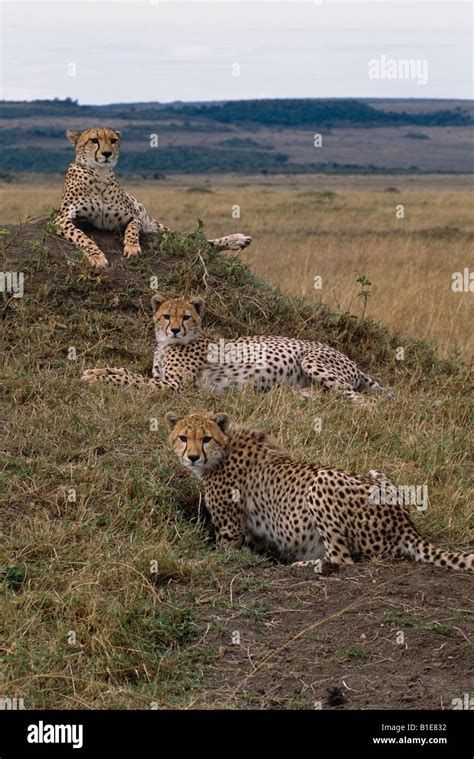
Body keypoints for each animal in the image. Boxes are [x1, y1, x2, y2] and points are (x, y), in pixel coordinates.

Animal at [54, 129, 252, 272]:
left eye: (113, 140)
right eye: (94, 140)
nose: (107, 153)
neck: (100, 175)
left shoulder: (135, 216)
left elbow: (132, 230)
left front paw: (132, 247)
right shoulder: (61, 219)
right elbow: (82, 237)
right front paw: (96, 257)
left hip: (160, 229)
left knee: (197, 241)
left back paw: (238, 239)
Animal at [165, 412, 472, 572]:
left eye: (206, 438)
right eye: (183, 437)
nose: (192, 457)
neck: (223, 451)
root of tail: (405, 523)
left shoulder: (230, 531)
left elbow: (220, 553)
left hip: (321, 480)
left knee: (343, 559)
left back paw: (304, 565)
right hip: (376, 473)